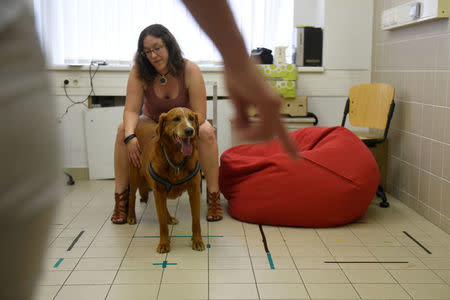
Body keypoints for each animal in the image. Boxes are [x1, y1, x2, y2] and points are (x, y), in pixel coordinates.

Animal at [126, 108, 204, 253]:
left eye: (191, 118)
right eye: (176, 119)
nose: (190, 130)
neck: (177, 160)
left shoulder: (194, 190)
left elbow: (196, 220)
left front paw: (197, 241)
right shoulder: (158, 190)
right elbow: (161, 223)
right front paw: (164, 243)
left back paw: (169, 218)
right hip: (134, 175)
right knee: (132, 196)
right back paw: (131, 216)